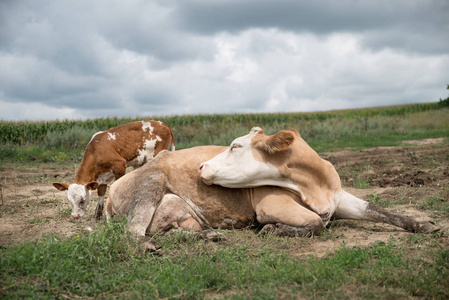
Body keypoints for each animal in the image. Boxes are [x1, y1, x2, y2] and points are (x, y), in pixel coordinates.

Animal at [106, 127, 438, 250]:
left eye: (235, 145)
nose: (200, 166)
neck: (315, 184)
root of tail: (110, 189)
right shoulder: (271, 205)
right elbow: (316, 224)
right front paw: (273, 229)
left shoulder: (339, 198)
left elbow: (378, 209)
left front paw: (423, 225)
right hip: (150, 185)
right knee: (133, 232)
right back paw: (148, 246)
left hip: (182, 213)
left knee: (173, 231)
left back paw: (208, 235)